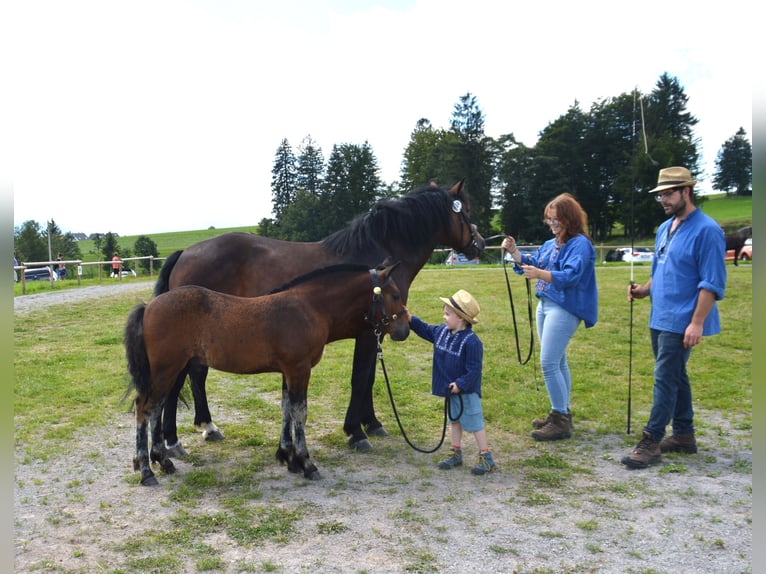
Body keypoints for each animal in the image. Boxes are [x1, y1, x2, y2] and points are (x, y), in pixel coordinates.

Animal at [127, 262, 414, 486]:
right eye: (395, 295)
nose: (405, 328)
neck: (310, 308)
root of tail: (149, 306)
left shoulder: (289, 371)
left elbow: (286, 409)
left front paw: (288, 458)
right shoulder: (299, 369)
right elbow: (299, 412)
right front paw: (307, 463)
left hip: (168, 371)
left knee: (156, 408)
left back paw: (163, 461)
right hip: (167, 369)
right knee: (144, 407)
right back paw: (146, 471)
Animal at [153, 180, 484, 450]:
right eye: (465, 211)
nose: (479, 243)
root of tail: (184, 253)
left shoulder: (375, 332)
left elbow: (369, 378)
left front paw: (372, 423)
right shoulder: (367, 333)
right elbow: (360, 378)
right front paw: (356, 432)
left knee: (194, 375)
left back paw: (205, 427)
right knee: (182, 377)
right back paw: (175, 438)